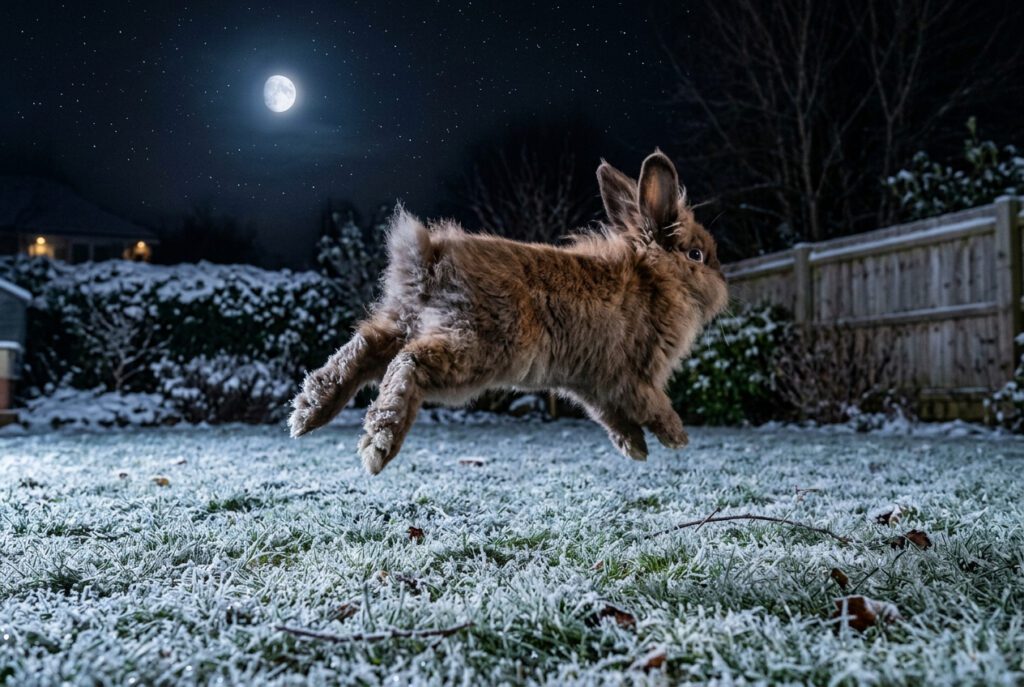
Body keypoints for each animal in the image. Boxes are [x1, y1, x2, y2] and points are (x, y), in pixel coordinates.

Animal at [288, 149, 729, 474]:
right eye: (696, 255)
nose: (725, 287)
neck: (654, 279)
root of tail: (430, 259)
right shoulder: (633, 377)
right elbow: (651, 404)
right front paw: (676, 437)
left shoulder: (592, 385)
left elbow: (611, 417)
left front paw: (635, 448)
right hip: (474, 350)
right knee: (408, 362)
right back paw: (379, 444)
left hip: (404, 321)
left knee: (363, 348)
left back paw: (308, 412)